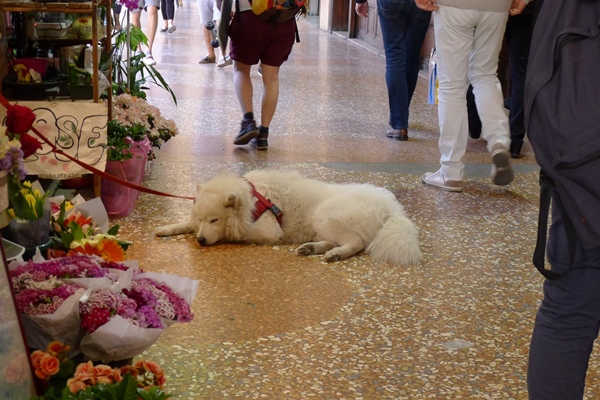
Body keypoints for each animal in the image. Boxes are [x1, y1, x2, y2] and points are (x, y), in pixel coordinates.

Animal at [155, 170, 422, 266]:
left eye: (214, 221)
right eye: (201, 220)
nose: (200, 241)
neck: (252, 199)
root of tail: (391, 209)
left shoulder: (268, 231)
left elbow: (238, 232)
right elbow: (183, 223)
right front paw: (166, 228)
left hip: (326, 217)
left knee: (355, 243)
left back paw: (334, 254)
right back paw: (310, 248)